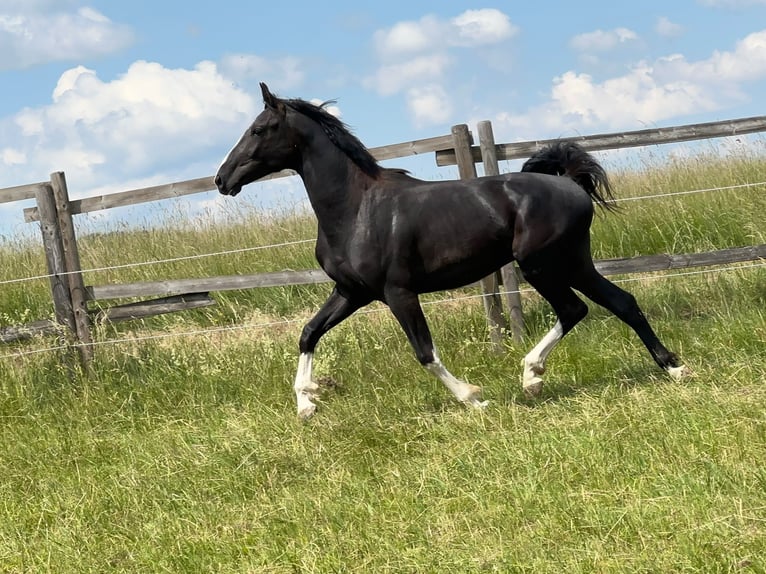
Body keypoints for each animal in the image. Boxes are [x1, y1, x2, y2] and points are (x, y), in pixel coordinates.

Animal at [216, 83, 688, 420]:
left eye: (259, 129)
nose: (223, 179)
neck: (355, 209)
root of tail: (570, 183)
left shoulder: (398, 293)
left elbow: (424, 352)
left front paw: (474, 398)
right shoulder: (352, 292)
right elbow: (308, 333)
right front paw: (306, 405)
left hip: (542, 264)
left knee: (576, 309)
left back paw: (534, 376)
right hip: (571, 262)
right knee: (619, 302)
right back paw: (670, 367)